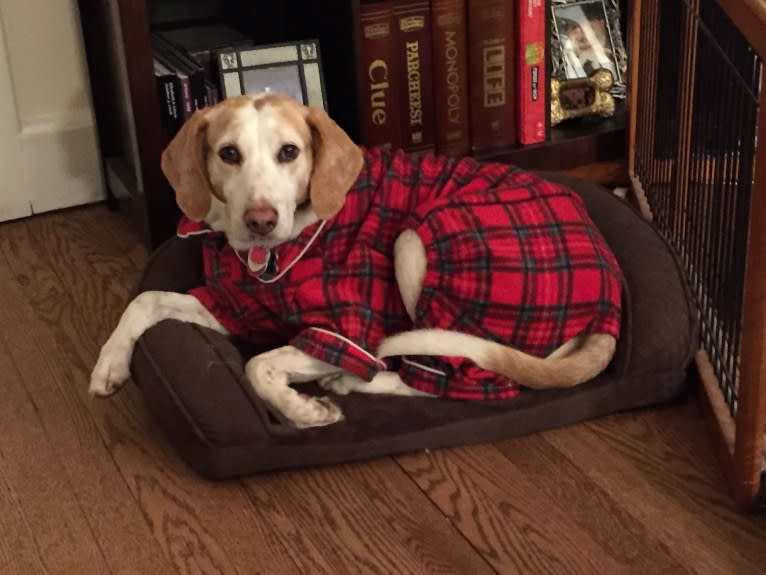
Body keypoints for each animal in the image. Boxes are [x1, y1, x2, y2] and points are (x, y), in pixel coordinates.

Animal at [90, 93, 620, 428]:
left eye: (289, 152)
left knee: (455, 381)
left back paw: (347, 380)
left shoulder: (348, 328)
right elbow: (145, 300)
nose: (261, 220)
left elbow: (259, 365)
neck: (268, 259)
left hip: (417, 240)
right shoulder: (234, 306)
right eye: (228, 154)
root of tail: (611, 298)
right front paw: (109, 364)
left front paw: (302, 411)